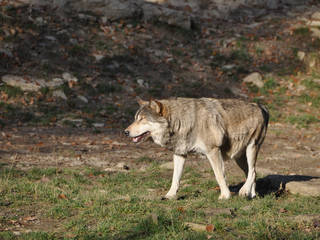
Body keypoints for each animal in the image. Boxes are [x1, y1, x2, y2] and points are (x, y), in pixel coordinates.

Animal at [124, 96, 268, 200]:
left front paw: (225, 196)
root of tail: (262, 106)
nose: (125, 132)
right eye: (135, 119)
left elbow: (219, 175)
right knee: (252, 172)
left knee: (253, 171)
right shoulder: (179, 154)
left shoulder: (213, 151)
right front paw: (170, 196)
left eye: (142, 119)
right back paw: (250, 195)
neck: (182, 121)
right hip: (239, 158)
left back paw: (244, 191)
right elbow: (175, 179)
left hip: (251, 148)